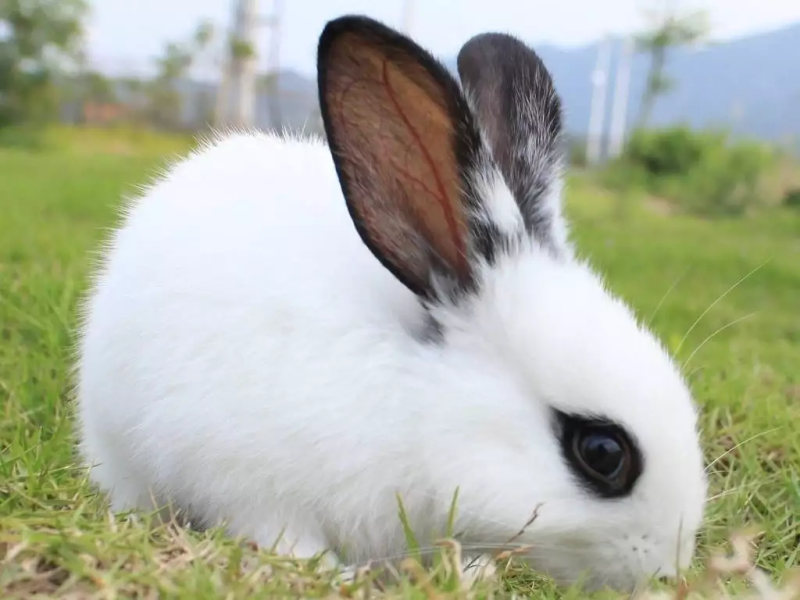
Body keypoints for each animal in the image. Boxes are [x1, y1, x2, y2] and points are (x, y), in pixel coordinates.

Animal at [74, 14, 708, 592]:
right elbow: (283, 536)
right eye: (602, 452)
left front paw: (469, 575)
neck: (420, 406)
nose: (668, 569)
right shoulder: (253, 484)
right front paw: (331, 576)